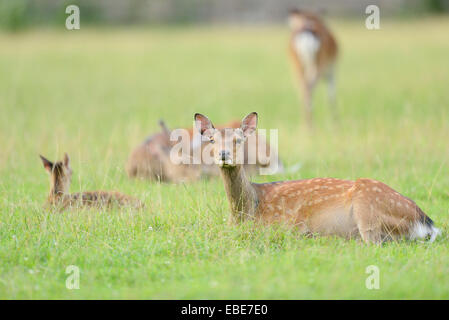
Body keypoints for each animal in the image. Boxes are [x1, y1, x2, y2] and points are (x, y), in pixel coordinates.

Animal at [194, 111, 440, 244]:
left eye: (238, 140)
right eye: (212, 140)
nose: (224, 154)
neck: (247, 211)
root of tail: (426, 223)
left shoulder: (287, 225)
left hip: (368, 208)